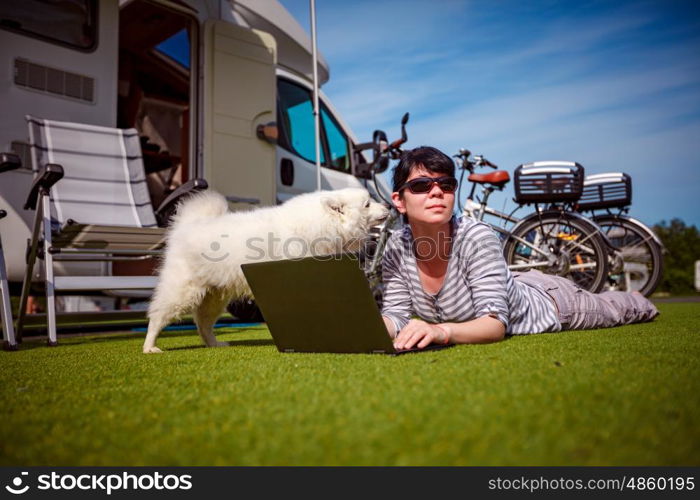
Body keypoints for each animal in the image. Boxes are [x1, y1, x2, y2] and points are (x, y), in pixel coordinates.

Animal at [143, 187, 388, 352]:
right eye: (367, 204)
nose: (388, 207)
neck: (323, 224)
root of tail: (187, 226)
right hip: (182, 292)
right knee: (157, 317)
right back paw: (149, 347)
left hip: (214, 298)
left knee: (203, 325)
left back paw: (215, 344)